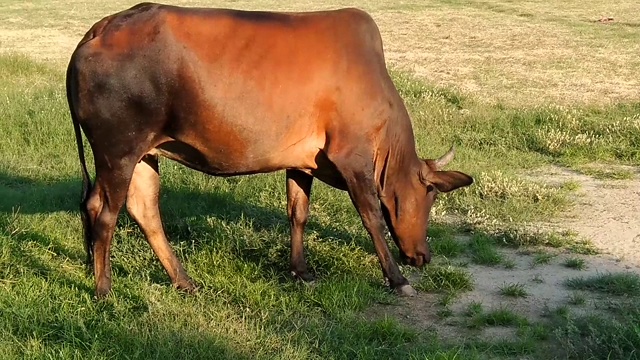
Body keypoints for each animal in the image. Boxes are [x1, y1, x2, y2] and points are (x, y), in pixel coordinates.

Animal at [66, 2, 476, 300]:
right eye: (430, 194)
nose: (423, 256)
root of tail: (101, 27)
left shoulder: (303, 160)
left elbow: (298, 213)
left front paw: (302, 271)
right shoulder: (353, 155)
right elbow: (372, 217)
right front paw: (397, 278)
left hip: (144, 152)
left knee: (142, 209)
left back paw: (182, 281)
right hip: (118, 150)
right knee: (105, 211)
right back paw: (104, 289)